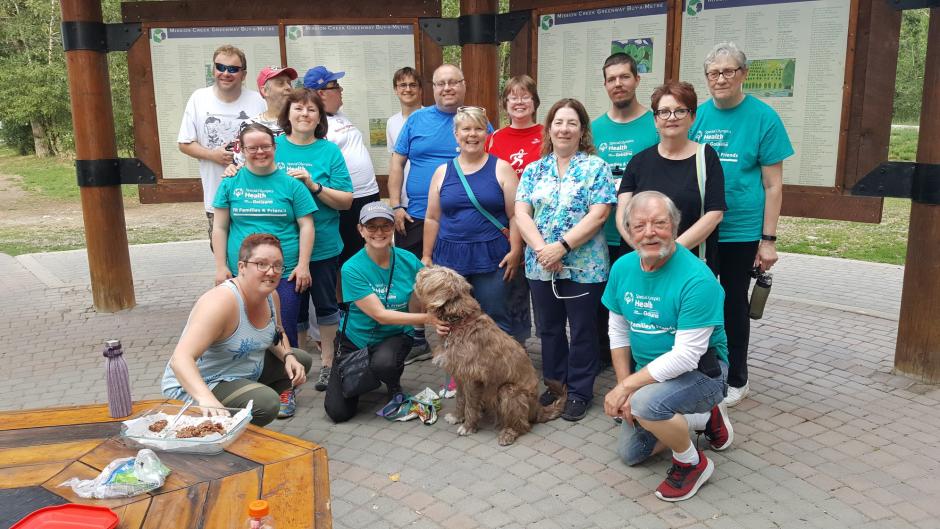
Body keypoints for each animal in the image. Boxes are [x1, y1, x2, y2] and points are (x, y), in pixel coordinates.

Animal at [416, 266, 564, 444]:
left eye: (434, 271)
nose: (422, 268)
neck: (460, 321)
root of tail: (537, 409)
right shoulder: (459, 374)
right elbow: (460, 399)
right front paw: (457, 417)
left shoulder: (472, 378)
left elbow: (470, 405)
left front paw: (468, 426)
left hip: (509, 391)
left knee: (523, 425)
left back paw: (509, 433)